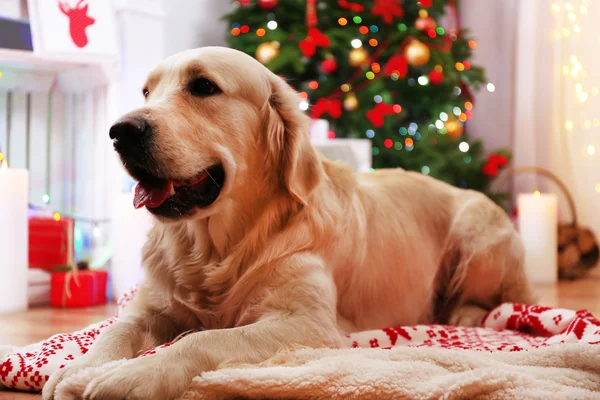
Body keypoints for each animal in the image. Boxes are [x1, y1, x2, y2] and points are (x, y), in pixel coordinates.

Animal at [44, 47, 536, 400]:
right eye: (146, 92)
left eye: (203, 86)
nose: (120, 131)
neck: (220, 247)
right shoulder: (152, 306)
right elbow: (116, 328)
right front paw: (77, 368)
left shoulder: (307, 325)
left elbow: (201, 340)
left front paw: (134, 375)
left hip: (476, 228)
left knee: (490, 300)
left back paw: (464, 314)